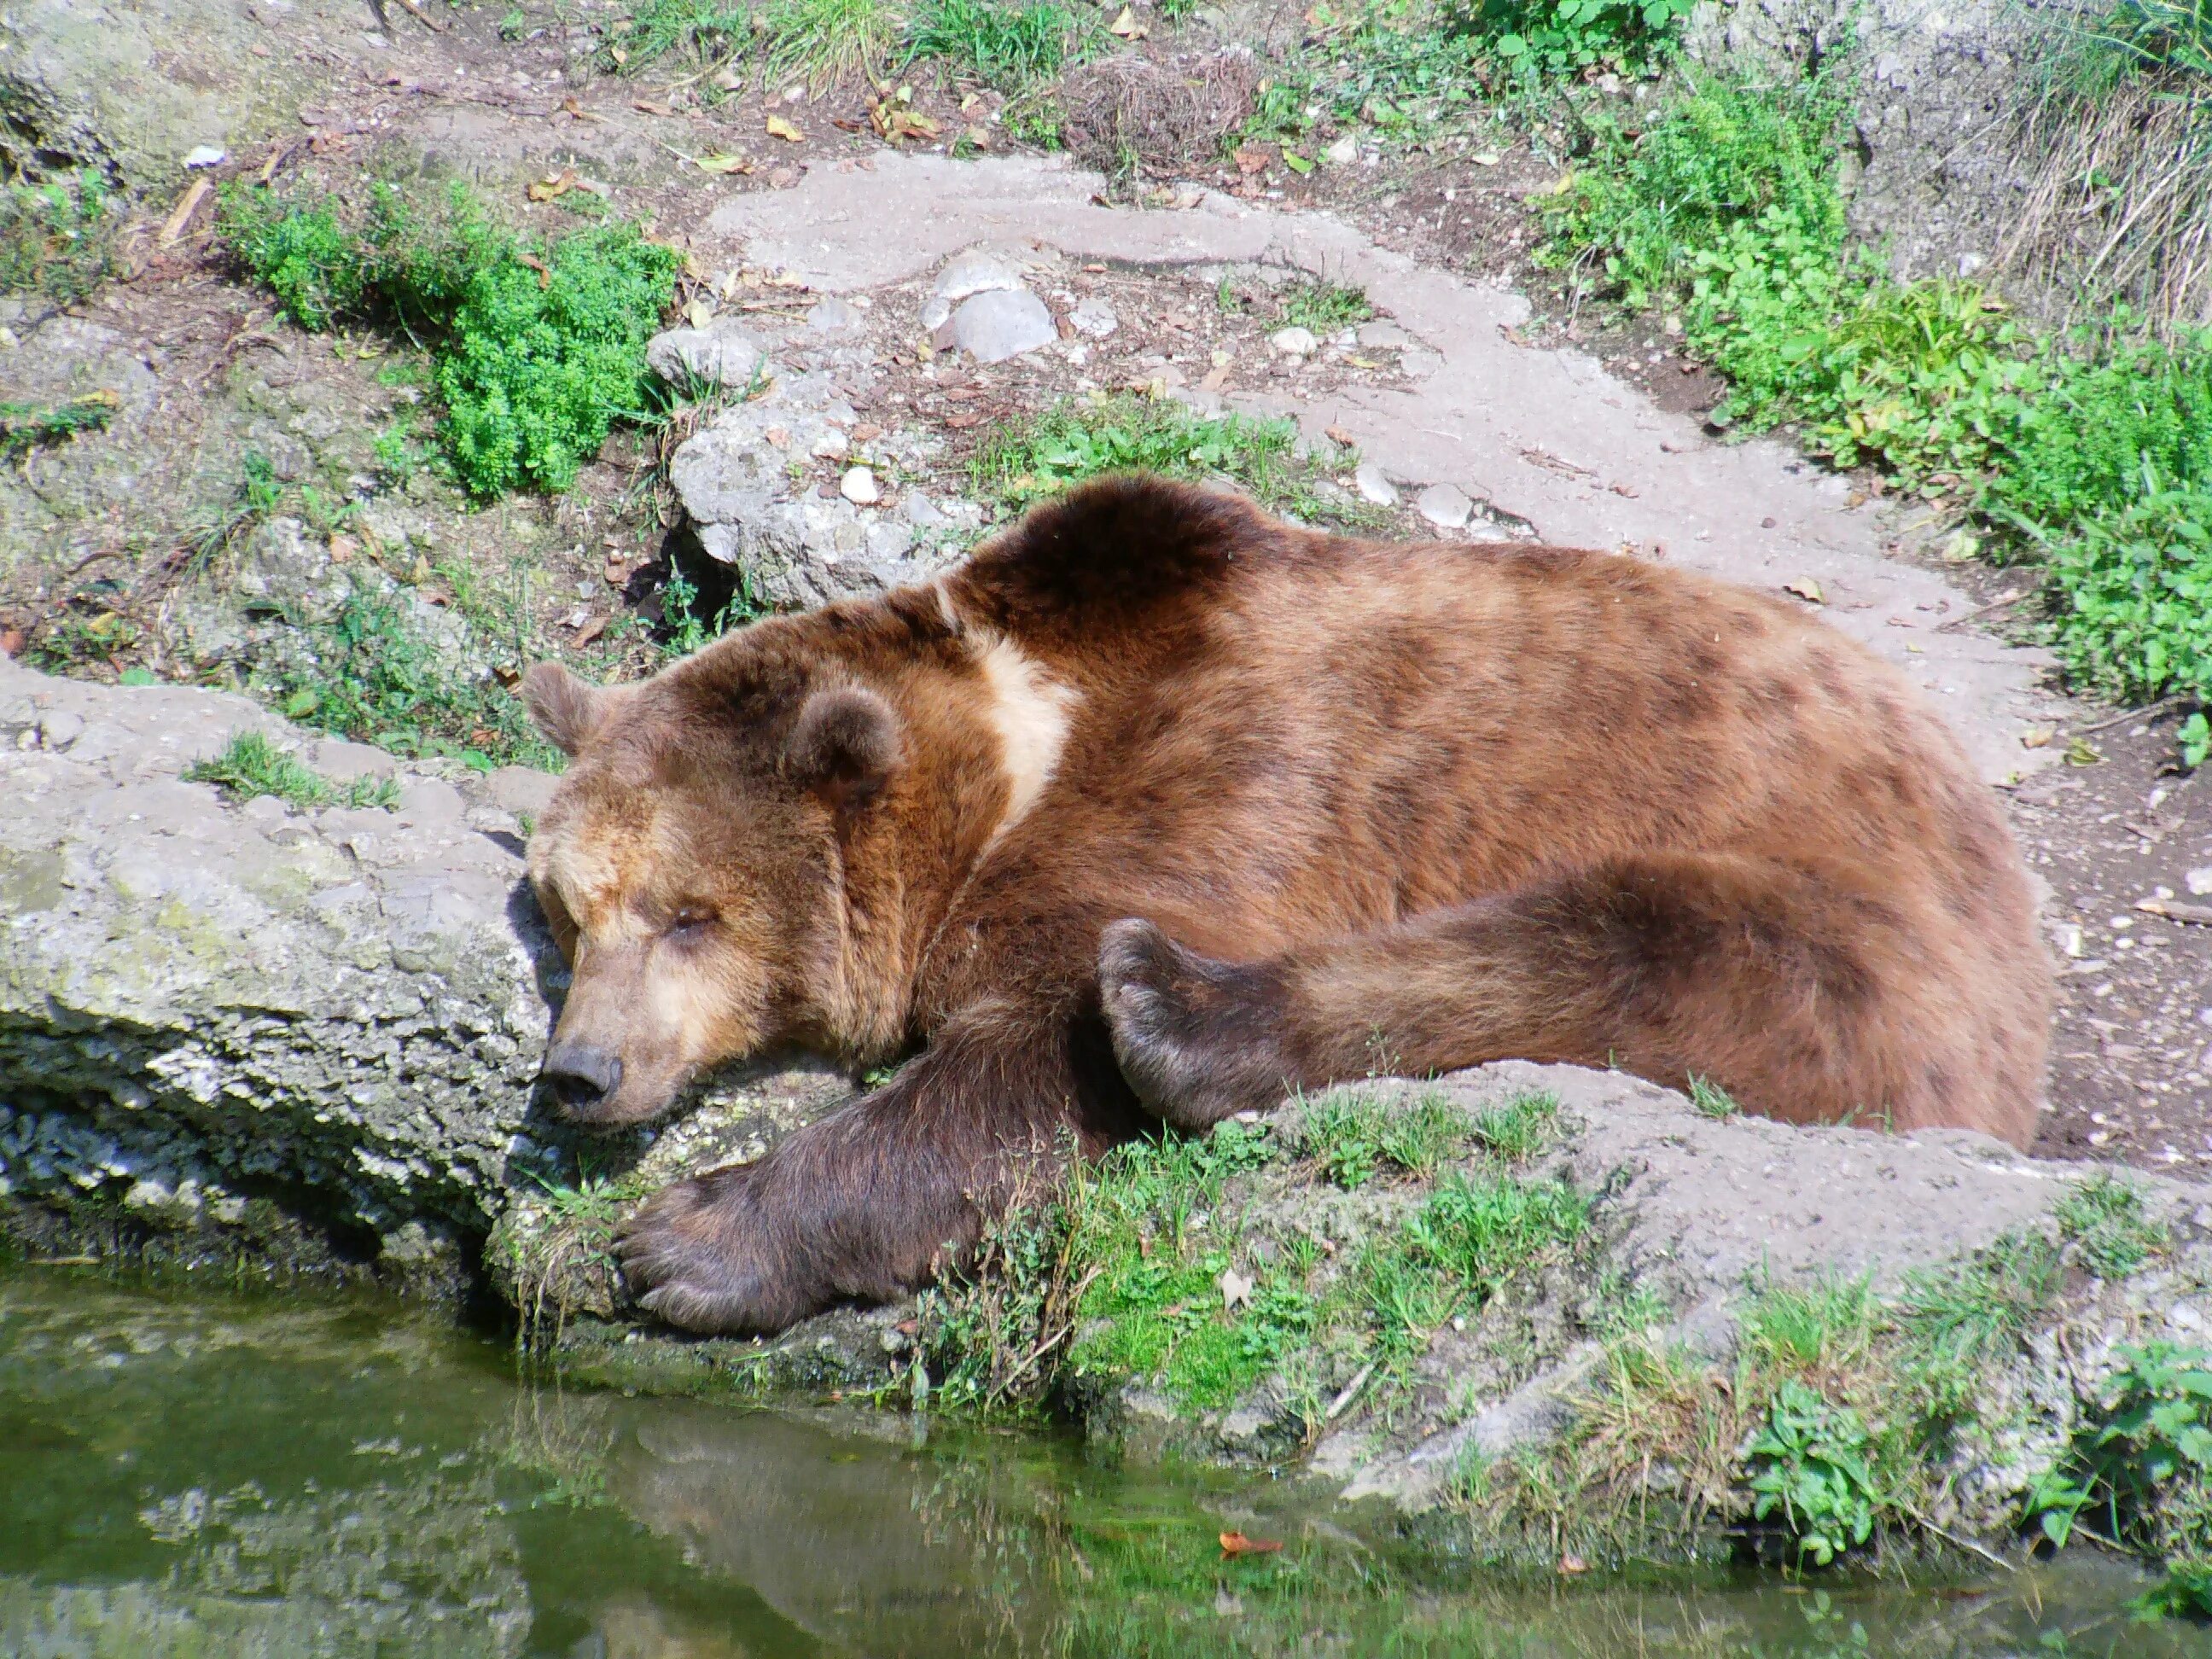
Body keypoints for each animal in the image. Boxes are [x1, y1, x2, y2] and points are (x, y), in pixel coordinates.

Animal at [521, 469, 2052, 1336]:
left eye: (690, 913)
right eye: (572, 909)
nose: (579, 1072)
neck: (1019, 748)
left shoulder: (1219, 780)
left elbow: (1023, 1057)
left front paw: (687, 1237)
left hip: (1840, 900)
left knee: (1618, 941)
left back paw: (1179, 1010)